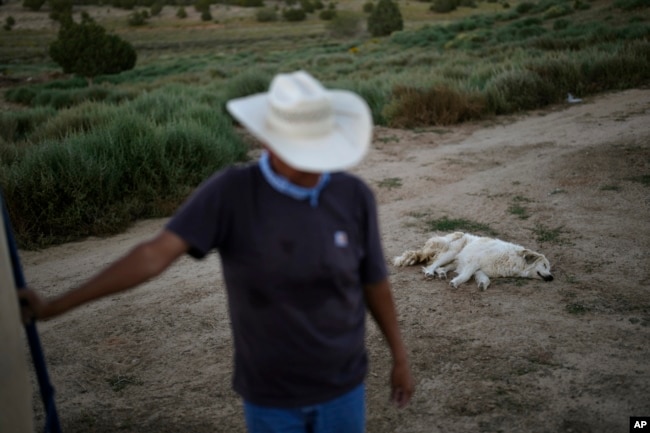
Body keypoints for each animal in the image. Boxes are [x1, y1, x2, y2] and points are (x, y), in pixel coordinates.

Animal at [390, 231, 552, 288]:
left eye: (549, 268)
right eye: (544, 265)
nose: (551, 277)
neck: (513, 260)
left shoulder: (480, 269)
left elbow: (485, 279)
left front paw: (482, 285)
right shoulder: (474, 261)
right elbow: (466, 276)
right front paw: (456, 283)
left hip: (455, 260)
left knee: (442, 267)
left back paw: (441, 273)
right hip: (452, 252)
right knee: (432, 265)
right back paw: (430, 273)